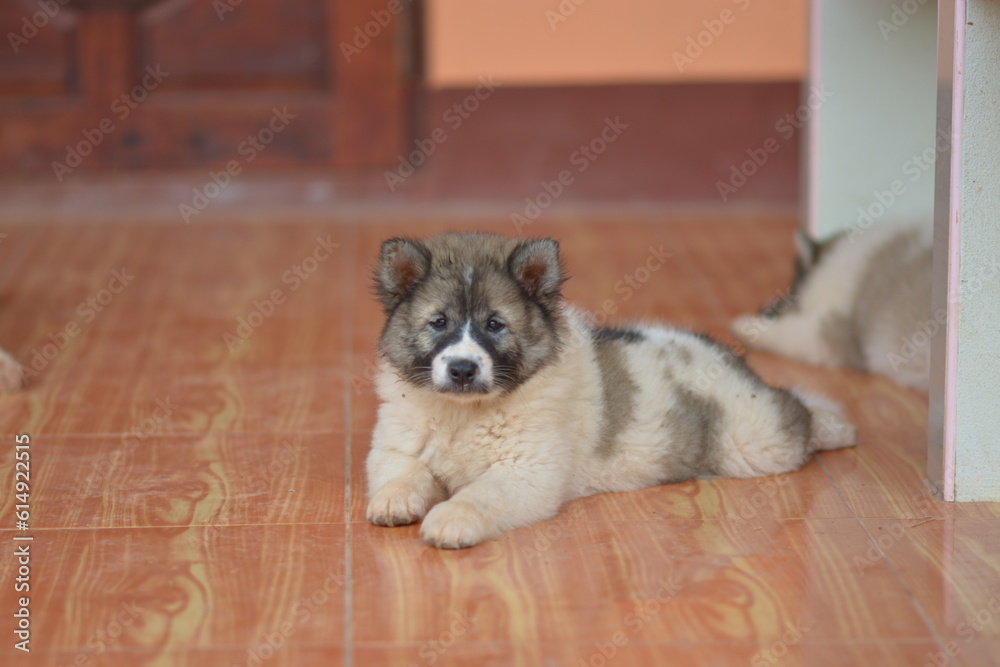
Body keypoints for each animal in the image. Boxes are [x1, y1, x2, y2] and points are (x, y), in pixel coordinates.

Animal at [364, 235, 856, 548]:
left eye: (495, 325)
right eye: (438, 322)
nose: (463, 369)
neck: (465, 413)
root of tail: (727, 357)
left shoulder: (525, 472)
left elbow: (479, 494)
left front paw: (451, 519)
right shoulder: (397, 445)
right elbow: (402, 470)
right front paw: (394, 499)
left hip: (755, 442)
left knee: (795, 411)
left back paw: (834, 425)